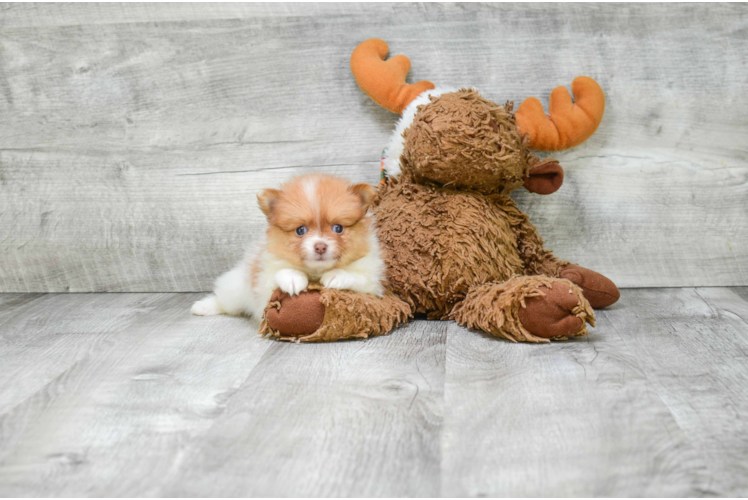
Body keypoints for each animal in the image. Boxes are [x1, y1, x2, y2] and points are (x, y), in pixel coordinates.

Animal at [190, 173, 386, 320]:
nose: (320, 247)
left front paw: (337, 275)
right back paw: (203, 307)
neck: (315, 272)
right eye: (300, 230)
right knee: (225, 300)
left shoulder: (373, 284)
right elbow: (279, 273)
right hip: (237, 289)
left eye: (338, 228)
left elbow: (358, 277)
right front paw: (293, 278)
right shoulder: (264, 284)